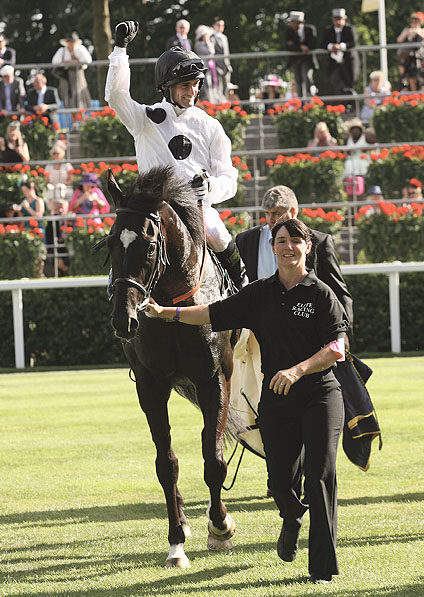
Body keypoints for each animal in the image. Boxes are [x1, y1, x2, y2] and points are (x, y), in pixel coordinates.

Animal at [103, 165, 242, 564]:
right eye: (110, 243)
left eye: (150, 245)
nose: (124, 319)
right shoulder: (150, 383)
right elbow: (166, 464)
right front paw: (176, 541)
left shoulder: (214, 379)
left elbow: (214, 460)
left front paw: (220, 526)